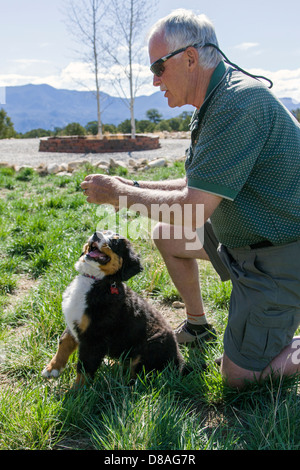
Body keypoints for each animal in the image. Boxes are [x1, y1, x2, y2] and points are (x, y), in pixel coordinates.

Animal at [41, 229, 184, 388]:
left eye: (115, 241)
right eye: (103, 231)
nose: (96, 234)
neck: (95, 280)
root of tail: (179, 359)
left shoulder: (94, 337)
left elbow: (84, 367)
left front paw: (76, 391)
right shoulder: (75, 320)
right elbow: (64, 341)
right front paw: (52, 368)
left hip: (150, 347)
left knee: (137, 377)